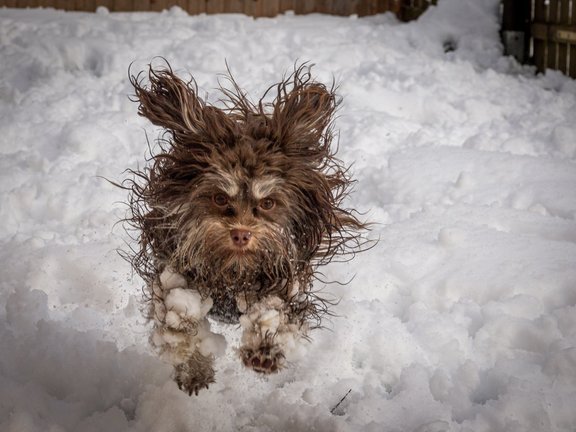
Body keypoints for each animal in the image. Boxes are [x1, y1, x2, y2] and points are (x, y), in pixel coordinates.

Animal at [123, 60, 366, 394]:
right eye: (219, 197)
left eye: (268, 203)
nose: (241, 233)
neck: (233, 272)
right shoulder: (174, 272)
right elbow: (179, 319)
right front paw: (193, 367)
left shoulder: (283, 282)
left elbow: (274, 314)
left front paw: (264, 350)